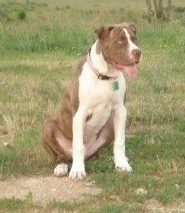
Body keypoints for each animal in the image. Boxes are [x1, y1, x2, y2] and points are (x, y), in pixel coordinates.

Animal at [42, 22, 142, 180]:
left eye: (134, 39)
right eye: (120, 41)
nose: (138, 52)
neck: (105, 75)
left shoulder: (120, 110)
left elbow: (120, 142)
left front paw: (122, 164)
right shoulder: (79, 114)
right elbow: (78, 146)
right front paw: (77, 171)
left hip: (109, 125)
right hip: (47, 126)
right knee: (60, 155)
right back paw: (61, 167)